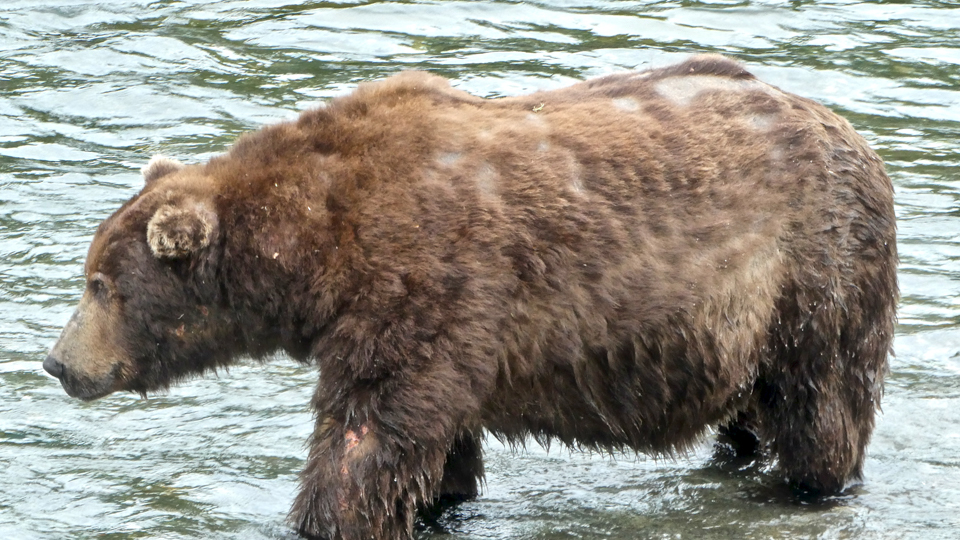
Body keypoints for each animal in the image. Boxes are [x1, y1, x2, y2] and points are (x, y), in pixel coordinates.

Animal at [44, 54, 898, 540]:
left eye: (98, 285)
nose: (56, 362)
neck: (314, 248)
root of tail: (852, 132)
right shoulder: (439, 323)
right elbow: (437, 443)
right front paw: (440, 504)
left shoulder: (422, 278)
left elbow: (366, 438)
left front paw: (327, 518)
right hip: (741, 324)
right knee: (750, 407)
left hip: (814, 269)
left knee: (822, 403)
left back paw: (805, 490)